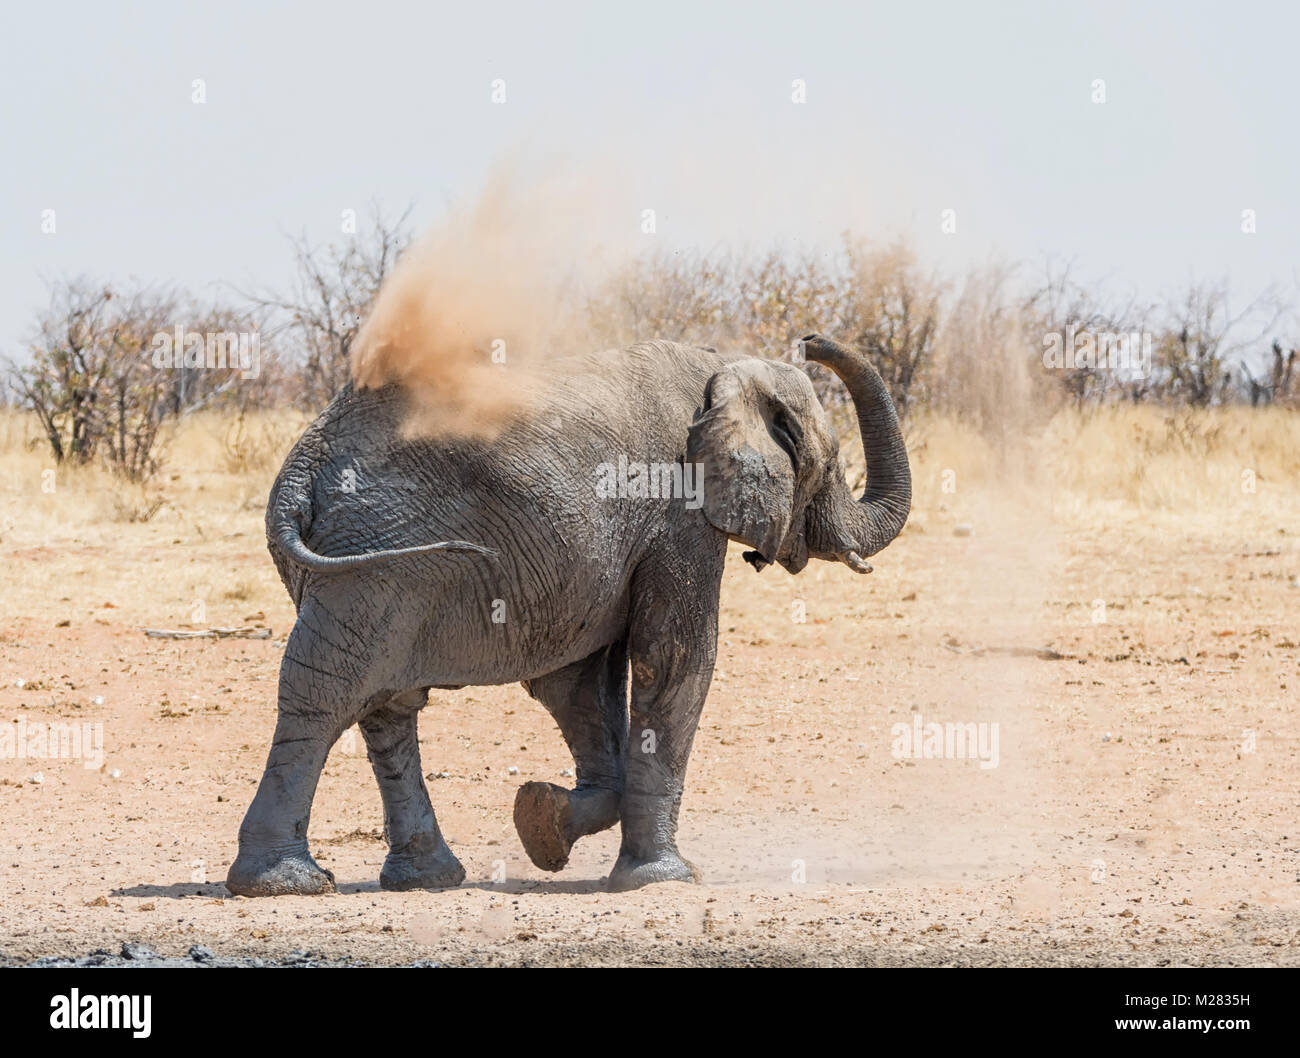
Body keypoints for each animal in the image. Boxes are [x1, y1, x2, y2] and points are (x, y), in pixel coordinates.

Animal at [225, 333, 910, 896]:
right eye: (829, 464)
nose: (812, 338)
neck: (728, 369)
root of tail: (301, 467)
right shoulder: (678, 511)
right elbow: (673, 659)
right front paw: (662, 880)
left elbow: (578, 683)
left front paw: (542, 821)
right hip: (370, 564)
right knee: (327, 694)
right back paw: (285, 884)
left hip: (355, 564)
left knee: (386, 705)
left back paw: (426, 878)